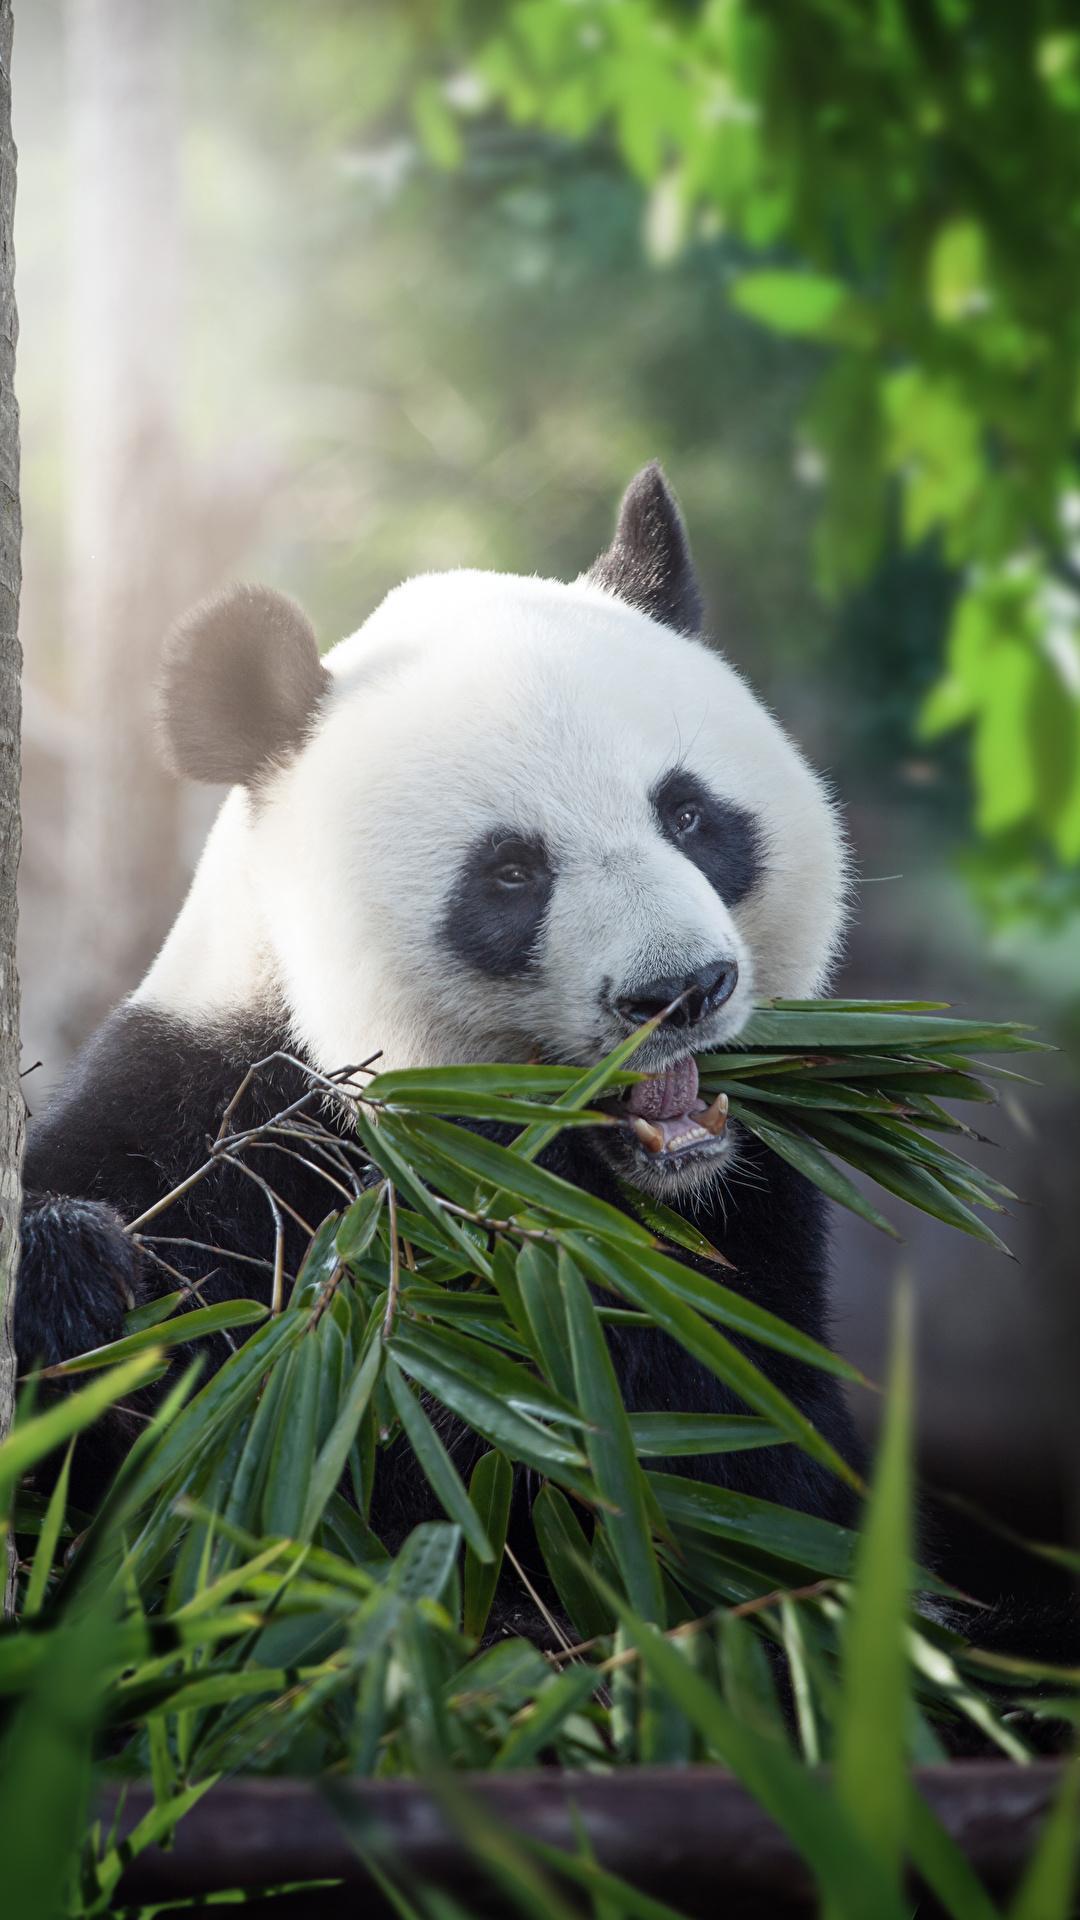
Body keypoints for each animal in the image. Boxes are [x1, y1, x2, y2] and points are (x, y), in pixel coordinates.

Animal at [19, 464, 861, 1548]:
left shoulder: (749, 1235)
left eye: (688, 814)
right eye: (511, 873)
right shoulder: (215, 1134)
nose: (679, 989)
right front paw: (66, 1280)